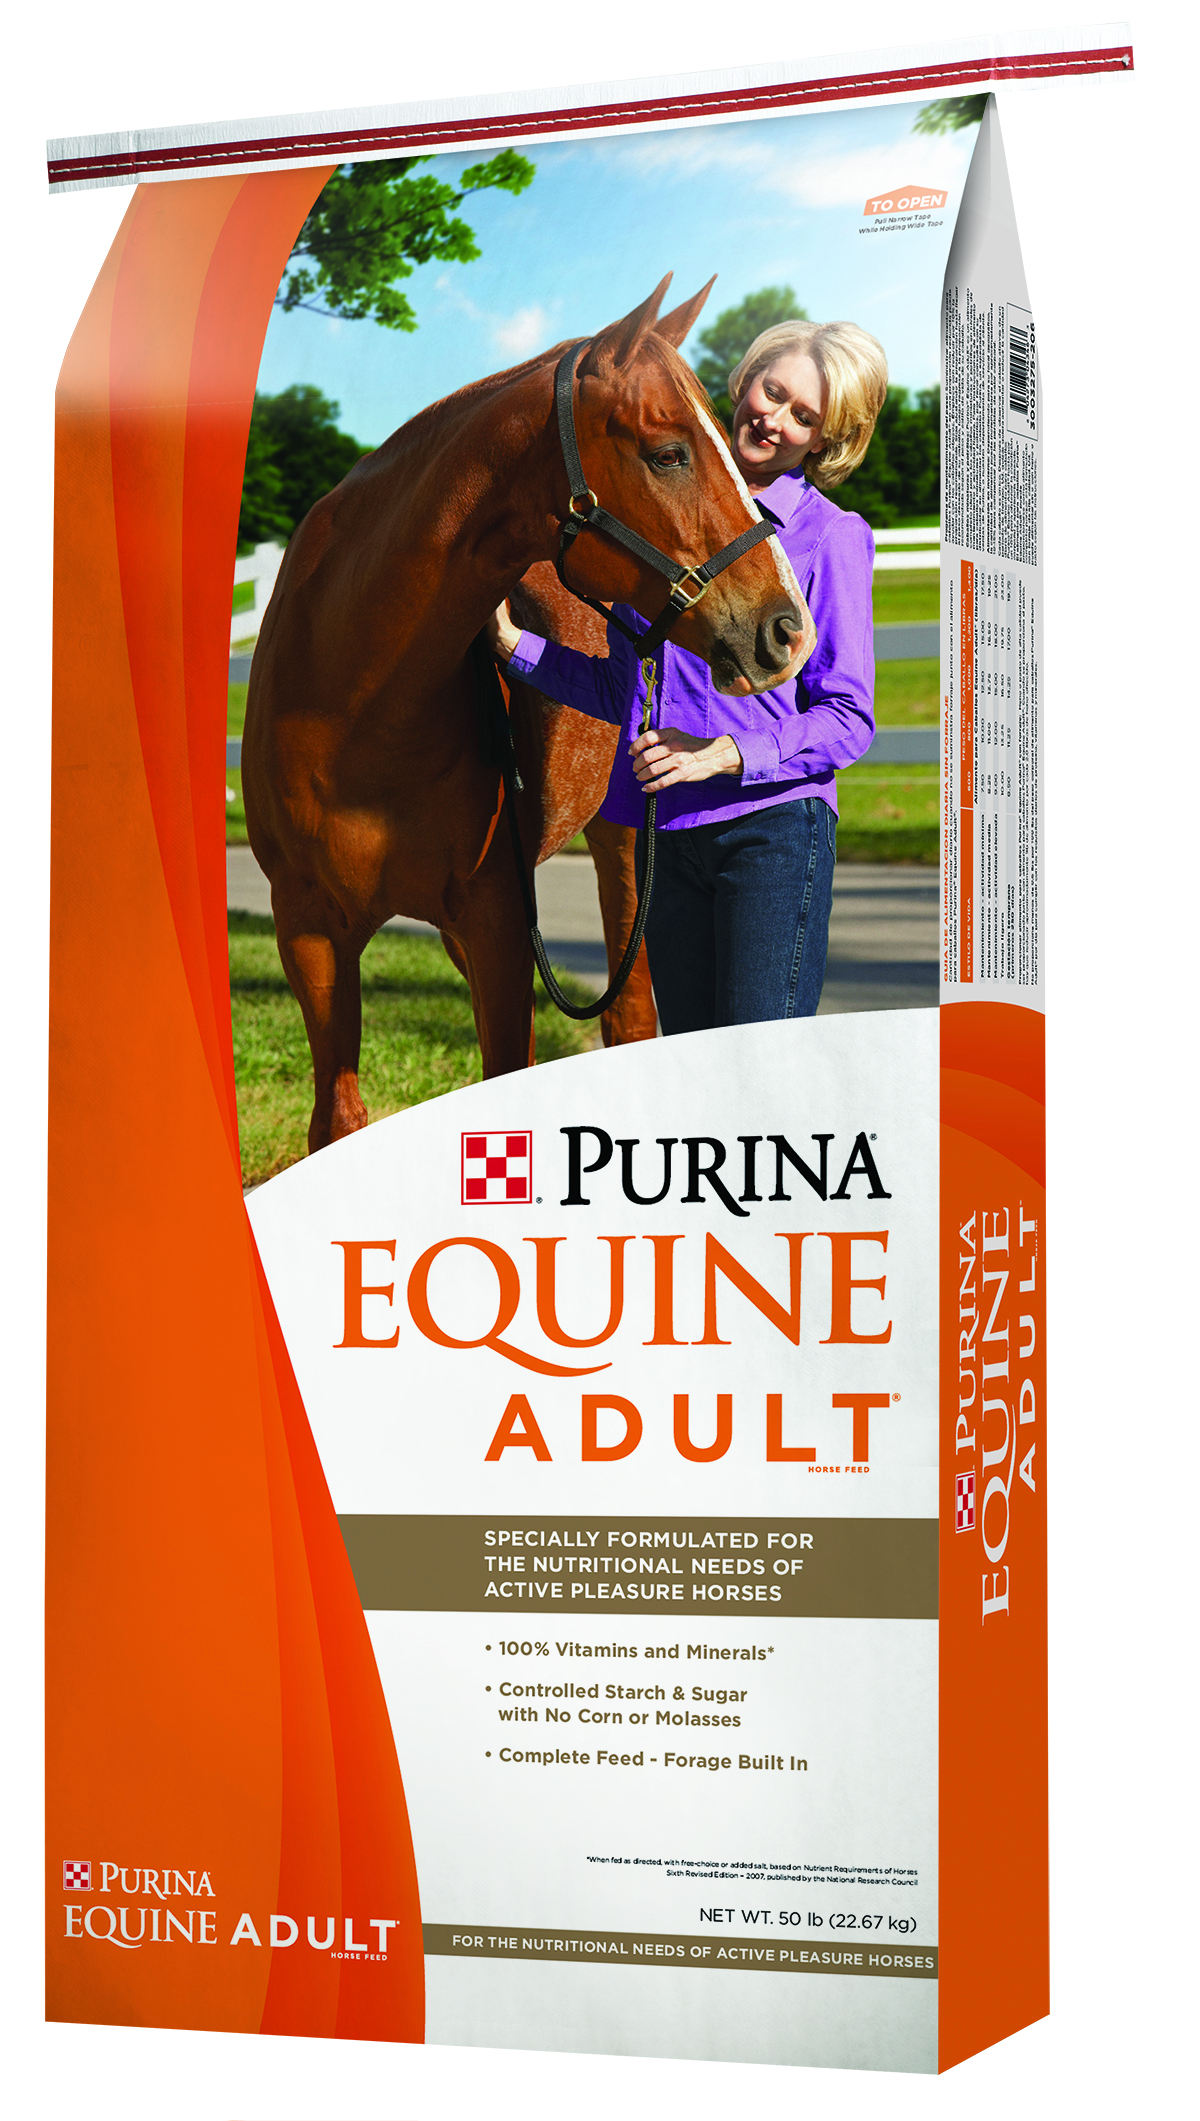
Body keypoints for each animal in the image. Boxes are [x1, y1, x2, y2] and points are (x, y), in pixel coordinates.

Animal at [242, 274, 815, 1154]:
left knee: (630, 1016)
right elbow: (336, 1120)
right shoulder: (308, 930)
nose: (787, 629)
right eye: (669, 452)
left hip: (622, 850)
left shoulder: (498, 921)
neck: (349, 708)